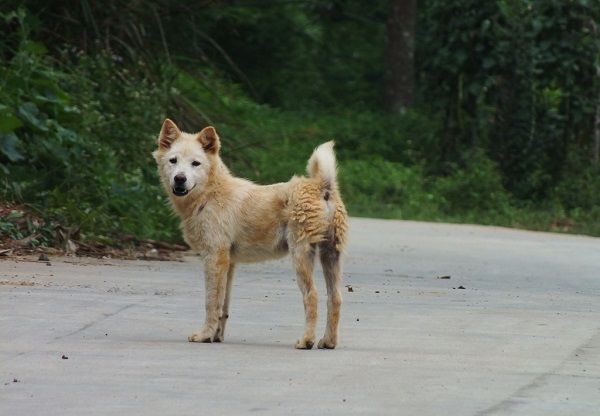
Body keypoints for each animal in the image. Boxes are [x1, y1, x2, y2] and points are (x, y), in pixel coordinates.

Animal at [154, 119, 346, 348]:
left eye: (195, 163)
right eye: (173, 160)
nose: (179, 179)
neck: (210, 194)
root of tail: (321, 186)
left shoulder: (214, 258)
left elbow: (211, 302)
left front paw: (204, 335)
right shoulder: (228, 263)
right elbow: (223, 305)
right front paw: (216, 336)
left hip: (301, 256)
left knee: (312, 296)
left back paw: (306, 340)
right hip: (330, 255)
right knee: (335, 298)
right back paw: (328, 341)